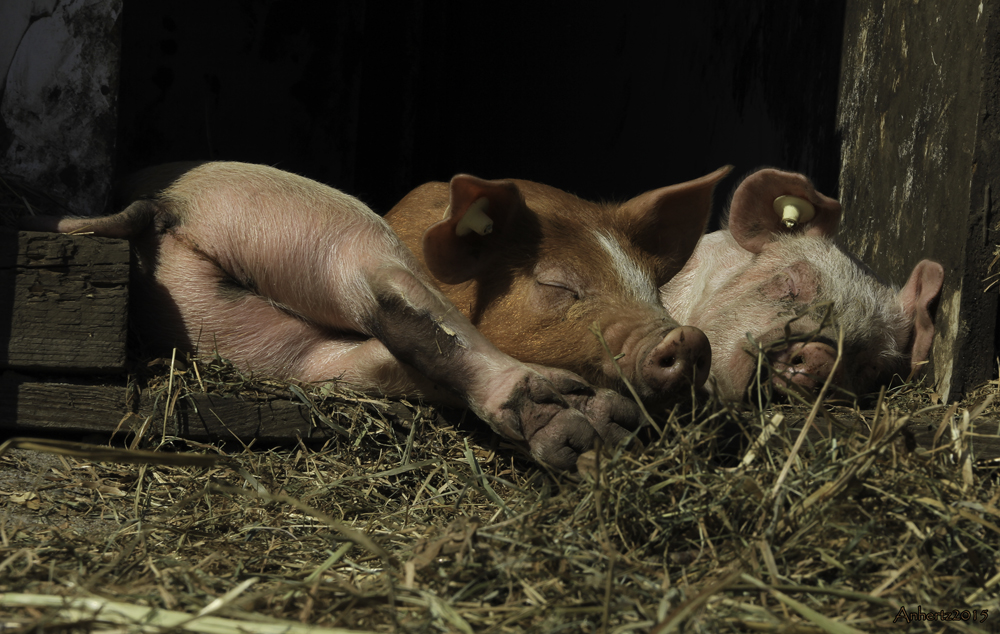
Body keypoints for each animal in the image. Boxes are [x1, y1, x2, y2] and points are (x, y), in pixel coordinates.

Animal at [19, 162, 644, 470]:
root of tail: (167, 204)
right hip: (317, 228)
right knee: (400, 310)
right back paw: (587, 424)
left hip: (270, 275)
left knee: (388, 332)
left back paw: (592, 422)